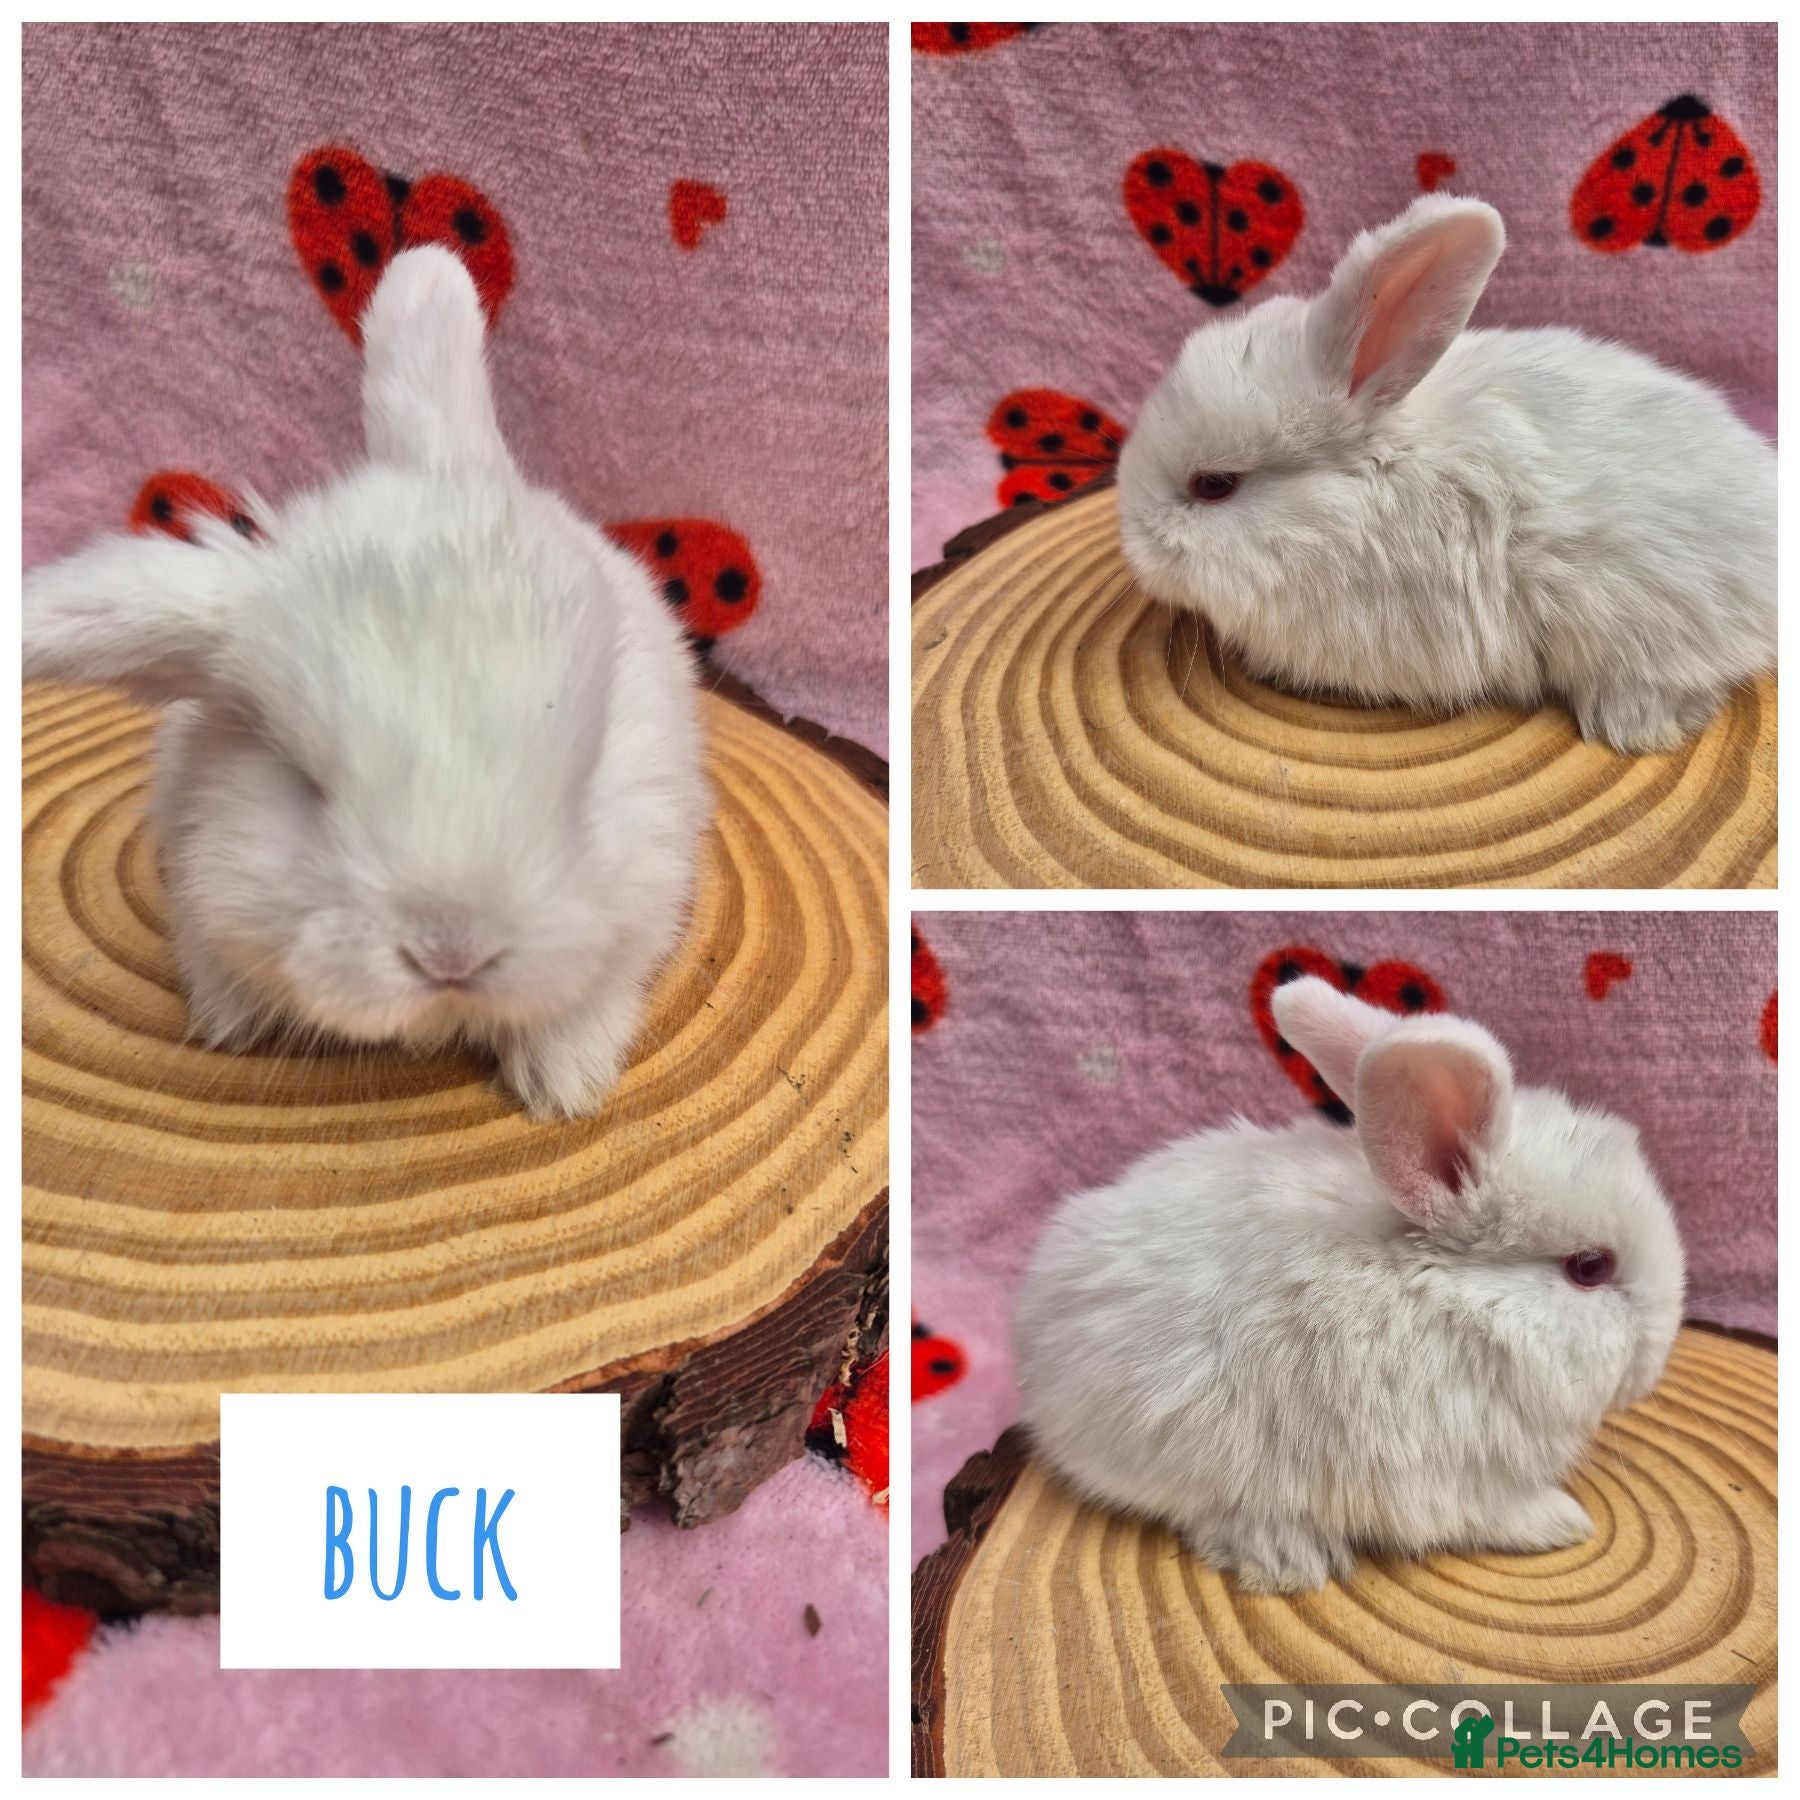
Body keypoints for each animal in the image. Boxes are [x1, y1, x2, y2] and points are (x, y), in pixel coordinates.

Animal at [23, 245, 708, 1119]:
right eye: (304, 784)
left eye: (582, 774)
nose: (452, 952)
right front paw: (229, 1022)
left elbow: (594, 995)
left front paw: (563, 1088)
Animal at [1013, 974, 1685, 1593]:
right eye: (1590, 1268)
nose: (1657, 1359)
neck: (1454, 1302)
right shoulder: (1450, 1473)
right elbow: (1497, 1514)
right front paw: (1564, 1521)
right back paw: (1287, 1556)